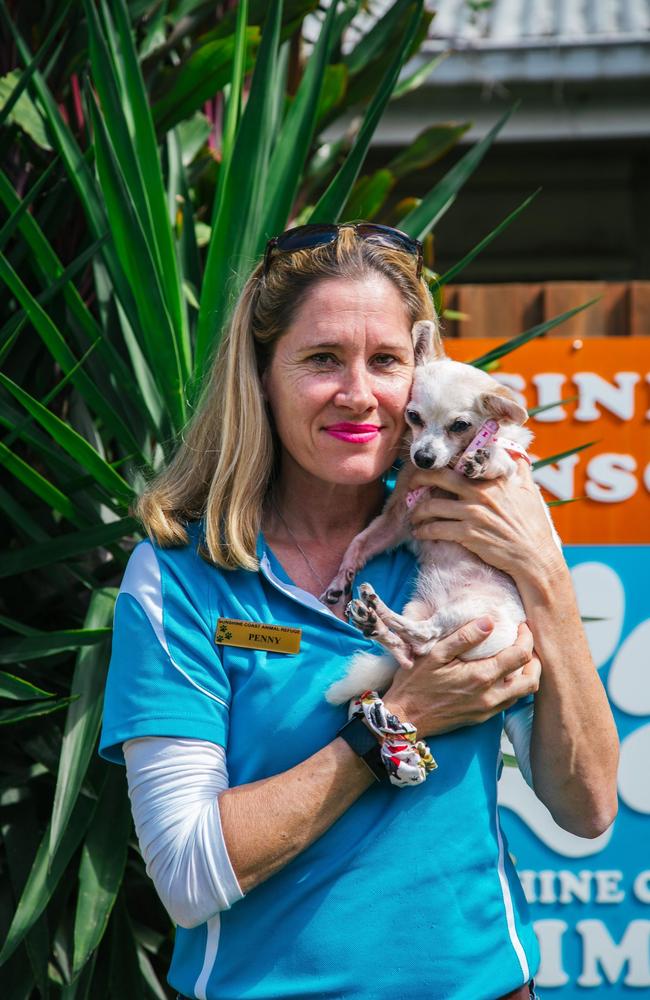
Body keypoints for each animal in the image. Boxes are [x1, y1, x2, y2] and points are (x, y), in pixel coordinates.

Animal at [322, 320, 556, 704]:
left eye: (460, 425)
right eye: (413, 417)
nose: (423, 457)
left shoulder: (510, 469)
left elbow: (498, 457)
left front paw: (480, 459)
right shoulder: (397, 519)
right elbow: (359, 542)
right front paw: (341, 577)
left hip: (471, 613)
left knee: (426, 637)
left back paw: (379, 612)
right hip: (420, 608)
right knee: (412, 651)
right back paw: (375, 620)